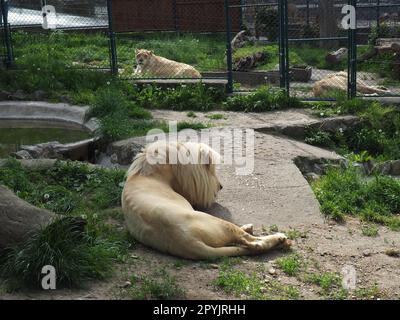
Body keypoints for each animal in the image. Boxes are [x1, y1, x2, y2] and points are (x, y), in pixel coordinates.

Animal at [122, 141, 290, 258]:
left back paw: (249, 227)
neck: (146, 174)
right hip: (218, 223)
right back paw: (280, 238)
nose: (221, 186)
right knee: (253, 243)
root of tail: (187, 242)